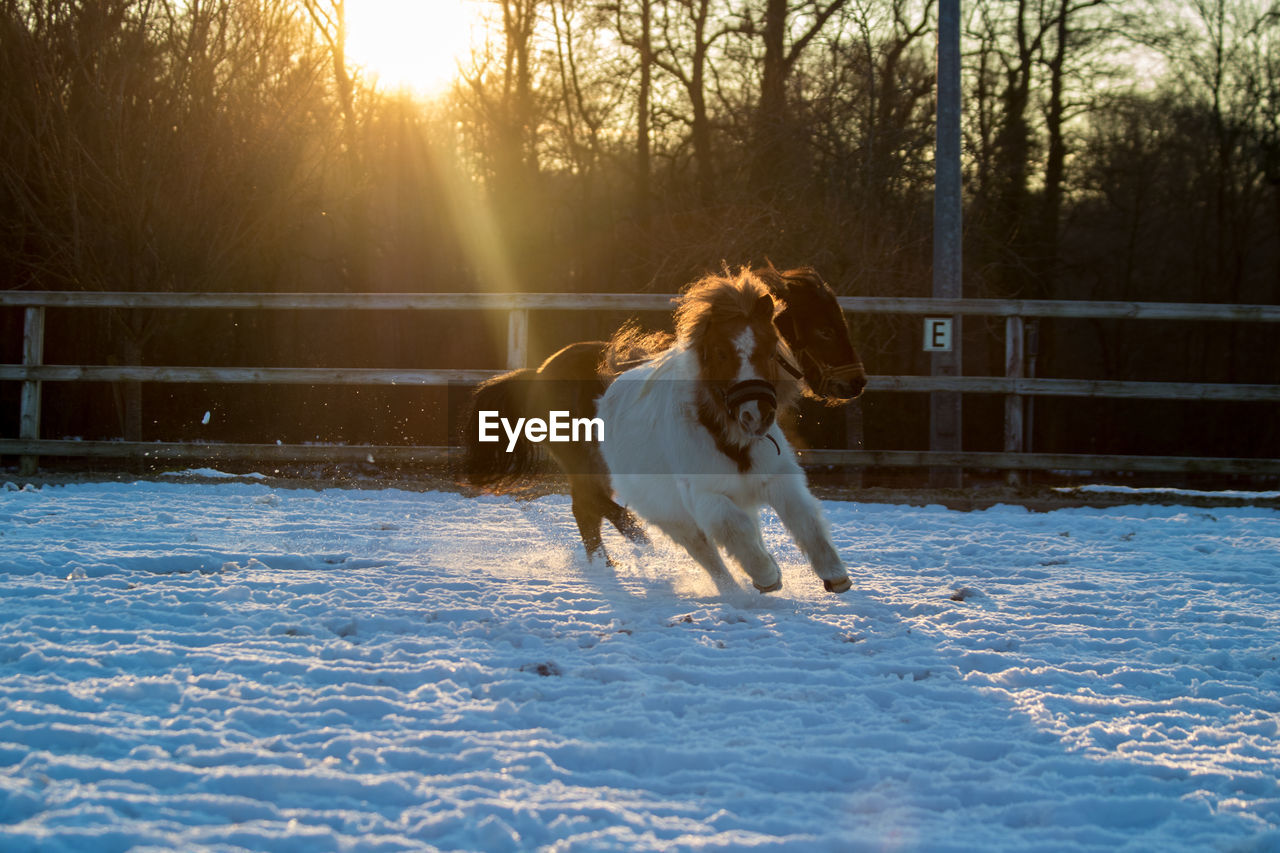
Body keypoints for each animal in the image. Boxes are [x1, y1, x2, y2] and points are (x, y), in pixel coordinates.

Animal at [455, 262, 865, 560]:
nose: (856, 381)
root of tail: (537, 374)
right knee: (587, 506)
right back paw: (633, 542)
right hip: (580, 459)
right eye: (825, 330)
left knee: (588, 510)